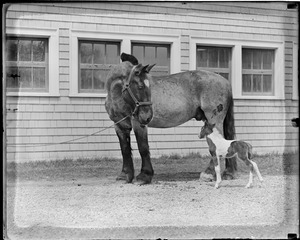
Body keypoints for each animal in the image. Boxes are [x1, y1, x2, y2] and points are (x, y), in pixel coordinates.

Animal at [105, 52, 237, 184]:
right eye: (141, 86)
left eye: (148, 87)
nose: (148, 116)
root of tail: (226, 82)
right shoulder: (120, 125)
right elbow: (125, 149)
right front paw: (124, 175)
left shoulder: (138, 123)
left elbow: (143, 148)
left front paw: (144, 176)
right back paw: (228, 173)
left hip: (214, 120)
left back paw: (208, 174)